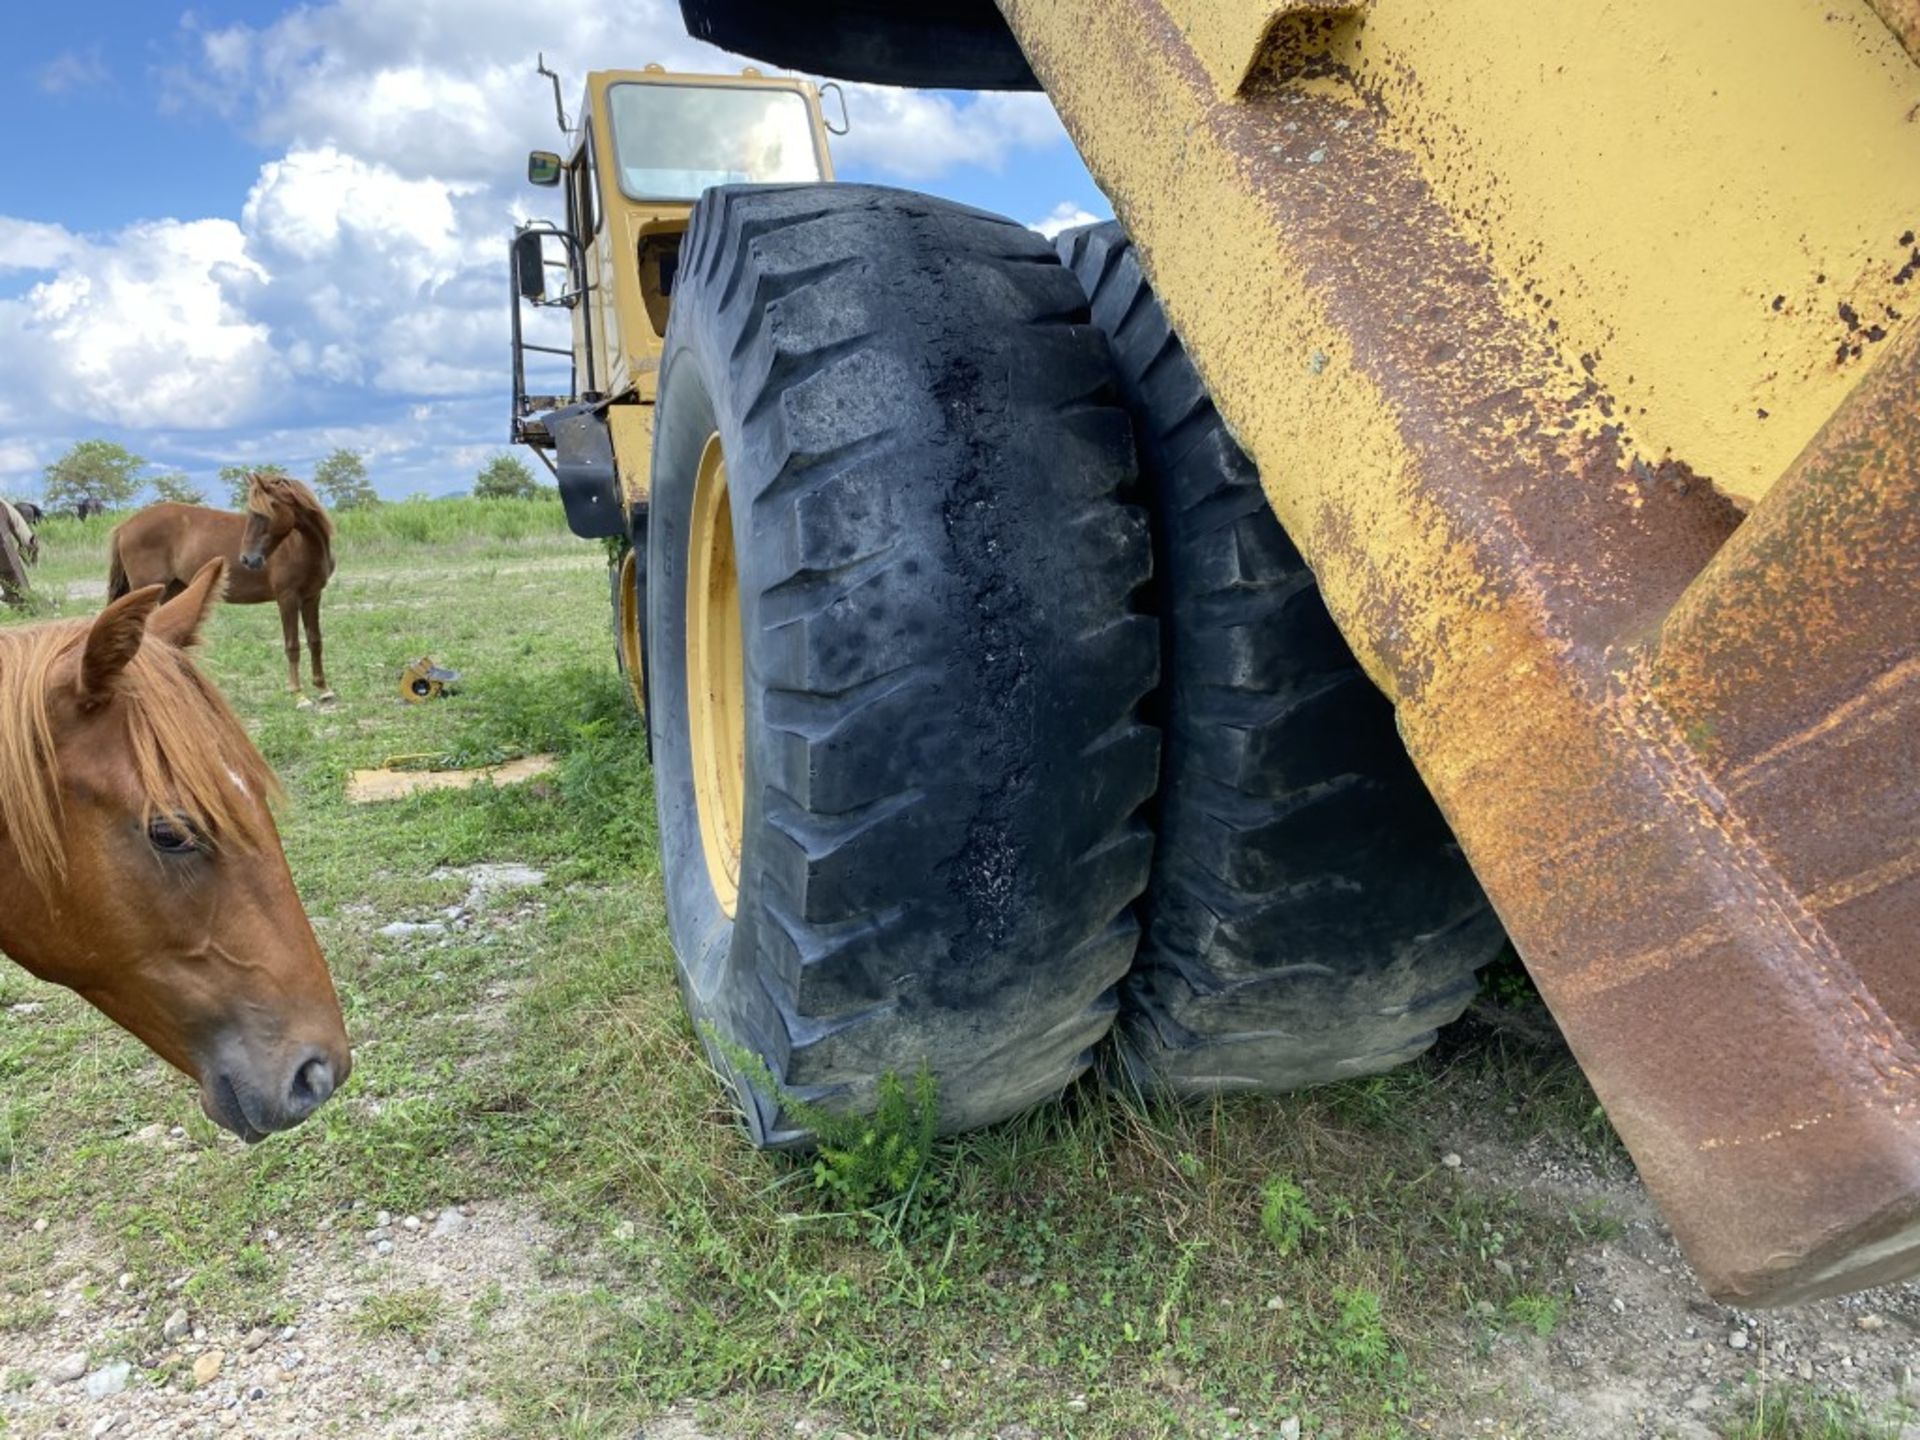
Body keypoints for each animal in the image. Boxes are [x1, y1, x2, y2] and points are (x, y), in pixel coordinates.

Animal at [107, 476, 337, 706]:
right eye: (253, 511)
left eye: (270, 507)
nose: (248, 559)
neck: (301, 545)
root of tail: (125, 526)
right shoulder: (287, 598)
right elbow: (292, 645)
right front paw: (299, 694)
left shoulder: (312, 596)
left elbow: (315, 641)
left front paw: (323, 688)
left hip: (174, 592)